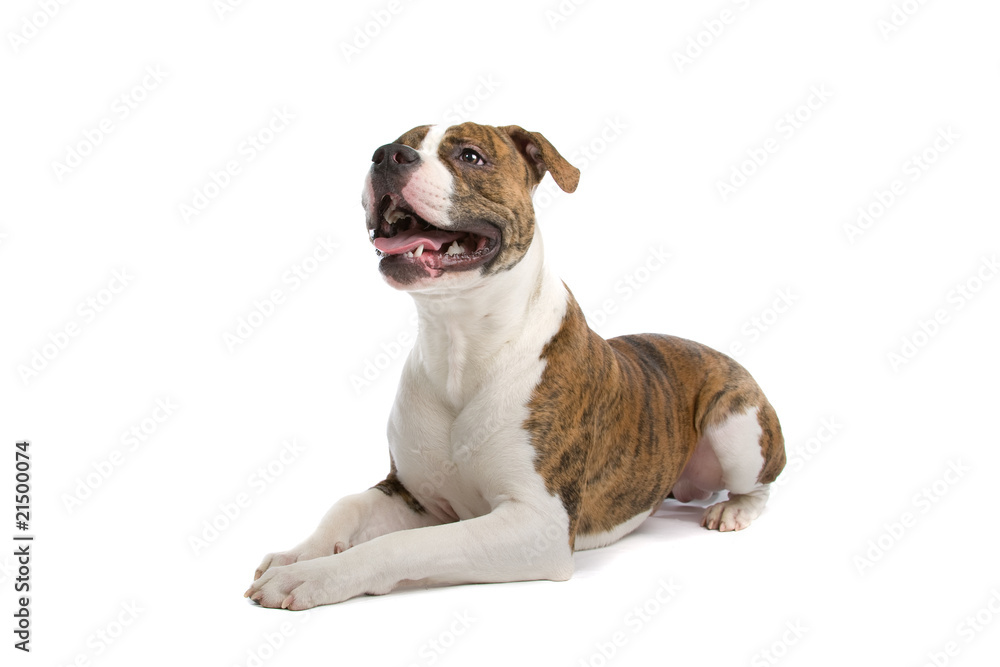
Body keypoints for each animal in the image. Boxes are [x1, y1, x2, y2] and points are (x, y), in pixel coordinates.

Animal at [246, 120, 784, 612]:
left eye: (470, 155)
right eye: (399, 141)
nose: (386, 155)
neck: (460, 344)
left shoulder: (536, 526)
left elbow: (405, 544)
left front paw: (313, 577)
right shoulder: (413, 494)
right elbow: (346, 505)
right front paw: (298, 555)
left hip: (736, 424)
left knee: (761, 485)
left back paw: (733, 512)